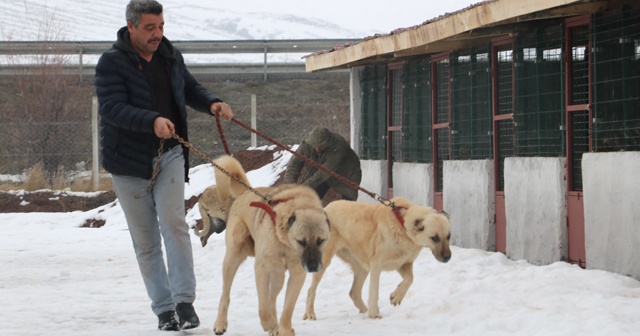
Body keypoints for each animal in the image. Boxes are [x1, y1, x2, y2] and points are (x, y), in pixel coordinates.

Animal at [211, 155, 332, 336]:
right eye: (301, 241)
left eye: (321, 240)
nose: (313, 267)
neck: (285, 242)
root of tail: (246, 192)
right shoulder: (261, 268)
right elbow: (262, 308)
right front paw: (268, 324)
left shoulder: (297, 274)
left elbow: (287, 308)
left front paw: (284, 329)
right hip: (233, 258)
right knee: (226, 294)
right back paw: (221, 323)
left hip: (278, 275)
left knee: (272, 298)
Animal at [304, 197, 450, 320]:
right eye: (434, 238)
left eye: (448, 236)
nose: (448, 257)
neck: (402, 225)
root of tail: (326, 208)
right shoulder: (376, 264)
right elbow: (374, 291)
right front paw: (374, 313)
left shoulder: (403, 264)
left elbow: (410, 279)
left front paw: (396, 296)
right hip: (324, 261)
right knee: (311, 290)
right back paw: (310, 314)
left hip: (362, 267)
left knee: (354, 291)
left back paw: (364, 310)